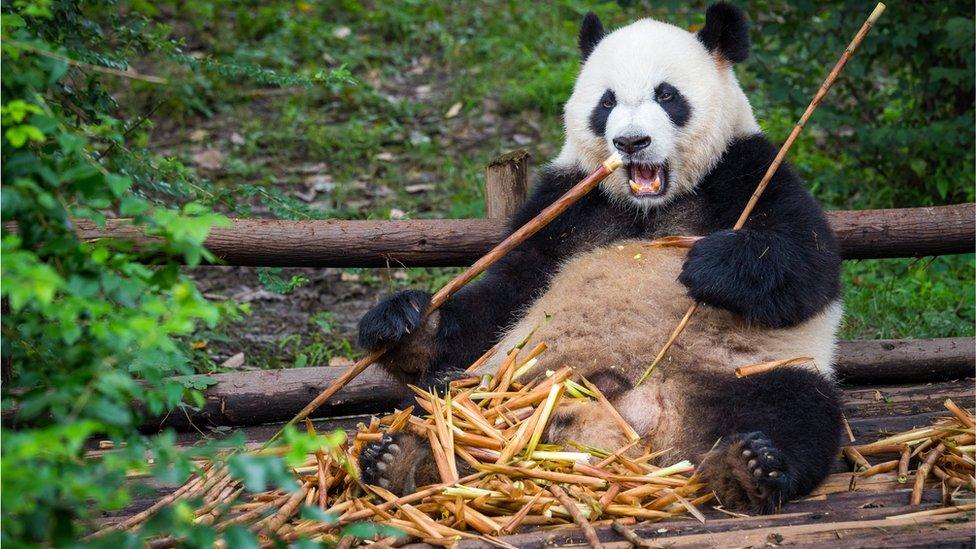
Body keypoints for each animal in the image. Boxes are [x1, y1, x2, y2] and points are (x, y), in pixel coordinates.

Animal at [356, 3, 843, 514]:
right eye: (606, 102)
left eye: (666, 94)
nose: (630, 142)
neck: (649, 206)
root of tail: (636, 421)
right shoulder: (565, 201)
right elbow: (506, 294)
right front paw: (403, 322)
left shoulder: (748, 168)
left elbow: (807, 264)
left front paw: (705, 265)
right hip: (511, 380)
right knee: (438, 401)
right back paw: (403, 459)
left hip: (740, 372)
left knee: (796, 407)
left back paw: (750, 467)